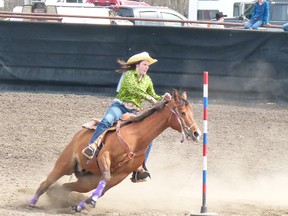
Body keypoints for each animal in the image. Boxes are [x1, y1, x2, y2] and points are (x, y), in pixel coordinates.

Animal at [28, 89, 201, 213]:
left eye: (192, 113)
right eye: (183, 113)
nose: (196, 133)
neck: (136, 137)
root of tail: (80, 133)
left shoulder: (120, 175)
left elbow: (103, 190)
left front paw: (82, 205)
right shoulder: (104, 157)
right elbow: (105, 177)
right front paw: (89, 202)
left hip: (87, 181)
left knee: (66, 186)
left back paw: (60, 196)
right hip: (65, 163)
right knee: (46, 182)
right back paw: (32, 201)